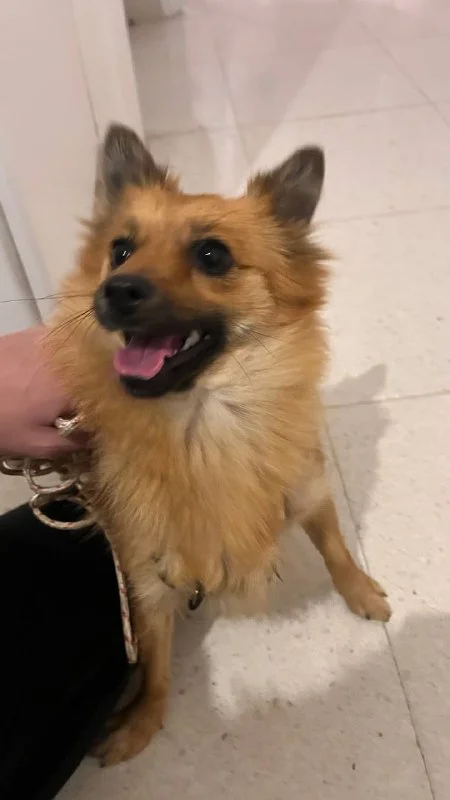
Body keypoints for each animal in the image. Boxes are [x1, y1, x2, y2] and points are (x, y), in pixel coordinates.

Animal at [49, 124, 391, 765]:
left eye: (212, 255)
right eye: (120, 250)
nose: (115, 289)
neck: (198, 428)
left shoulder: (308, 487)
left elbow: (335, 547)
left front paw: (360, 593)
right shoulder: (144, 569)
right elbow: (155, 659)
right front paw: (143, 718)